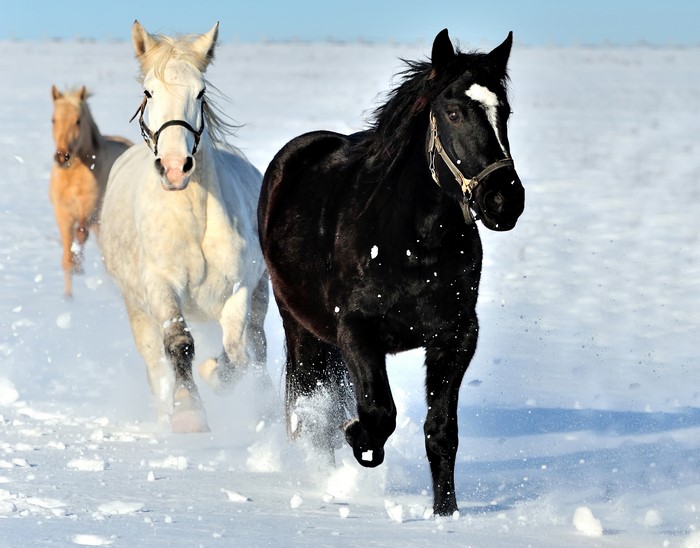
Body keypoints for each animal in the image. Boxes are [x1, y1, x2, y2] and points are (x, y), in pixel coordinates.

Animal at [49, 86, 132, 297]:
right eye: (53, 119)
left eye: (78, 120)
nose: (62, 157)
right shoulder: (62, 213)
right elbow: (65, 255)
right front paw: (68, 297)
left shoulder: (89, 210)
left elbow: (80, 234)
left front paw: (78, 266)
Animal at [100, 21, 269, 433]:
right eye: (149, 91)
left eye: (201, 92)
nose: (175, 167)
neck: (193, 218)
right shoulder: (161, 285)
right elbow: (179, 342)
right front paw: (188, 412)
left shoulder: (239, 289)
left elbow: (237, 352)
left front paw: (213, 375)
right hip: (136, 307)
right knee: (155, 362)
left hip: (261, 296)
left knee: (257, 348)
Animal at [258, 29, 525, 515]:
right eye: (454, 112)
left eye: (506, 112)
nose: (504, 199)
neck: (414, 243)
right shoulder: (356, 330)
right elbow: (378, 413)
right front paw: (357, 438)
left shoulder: (456, 335)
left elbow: (441, 432)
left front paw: (446, 512)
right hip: (300, 326)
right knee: (308, 404)